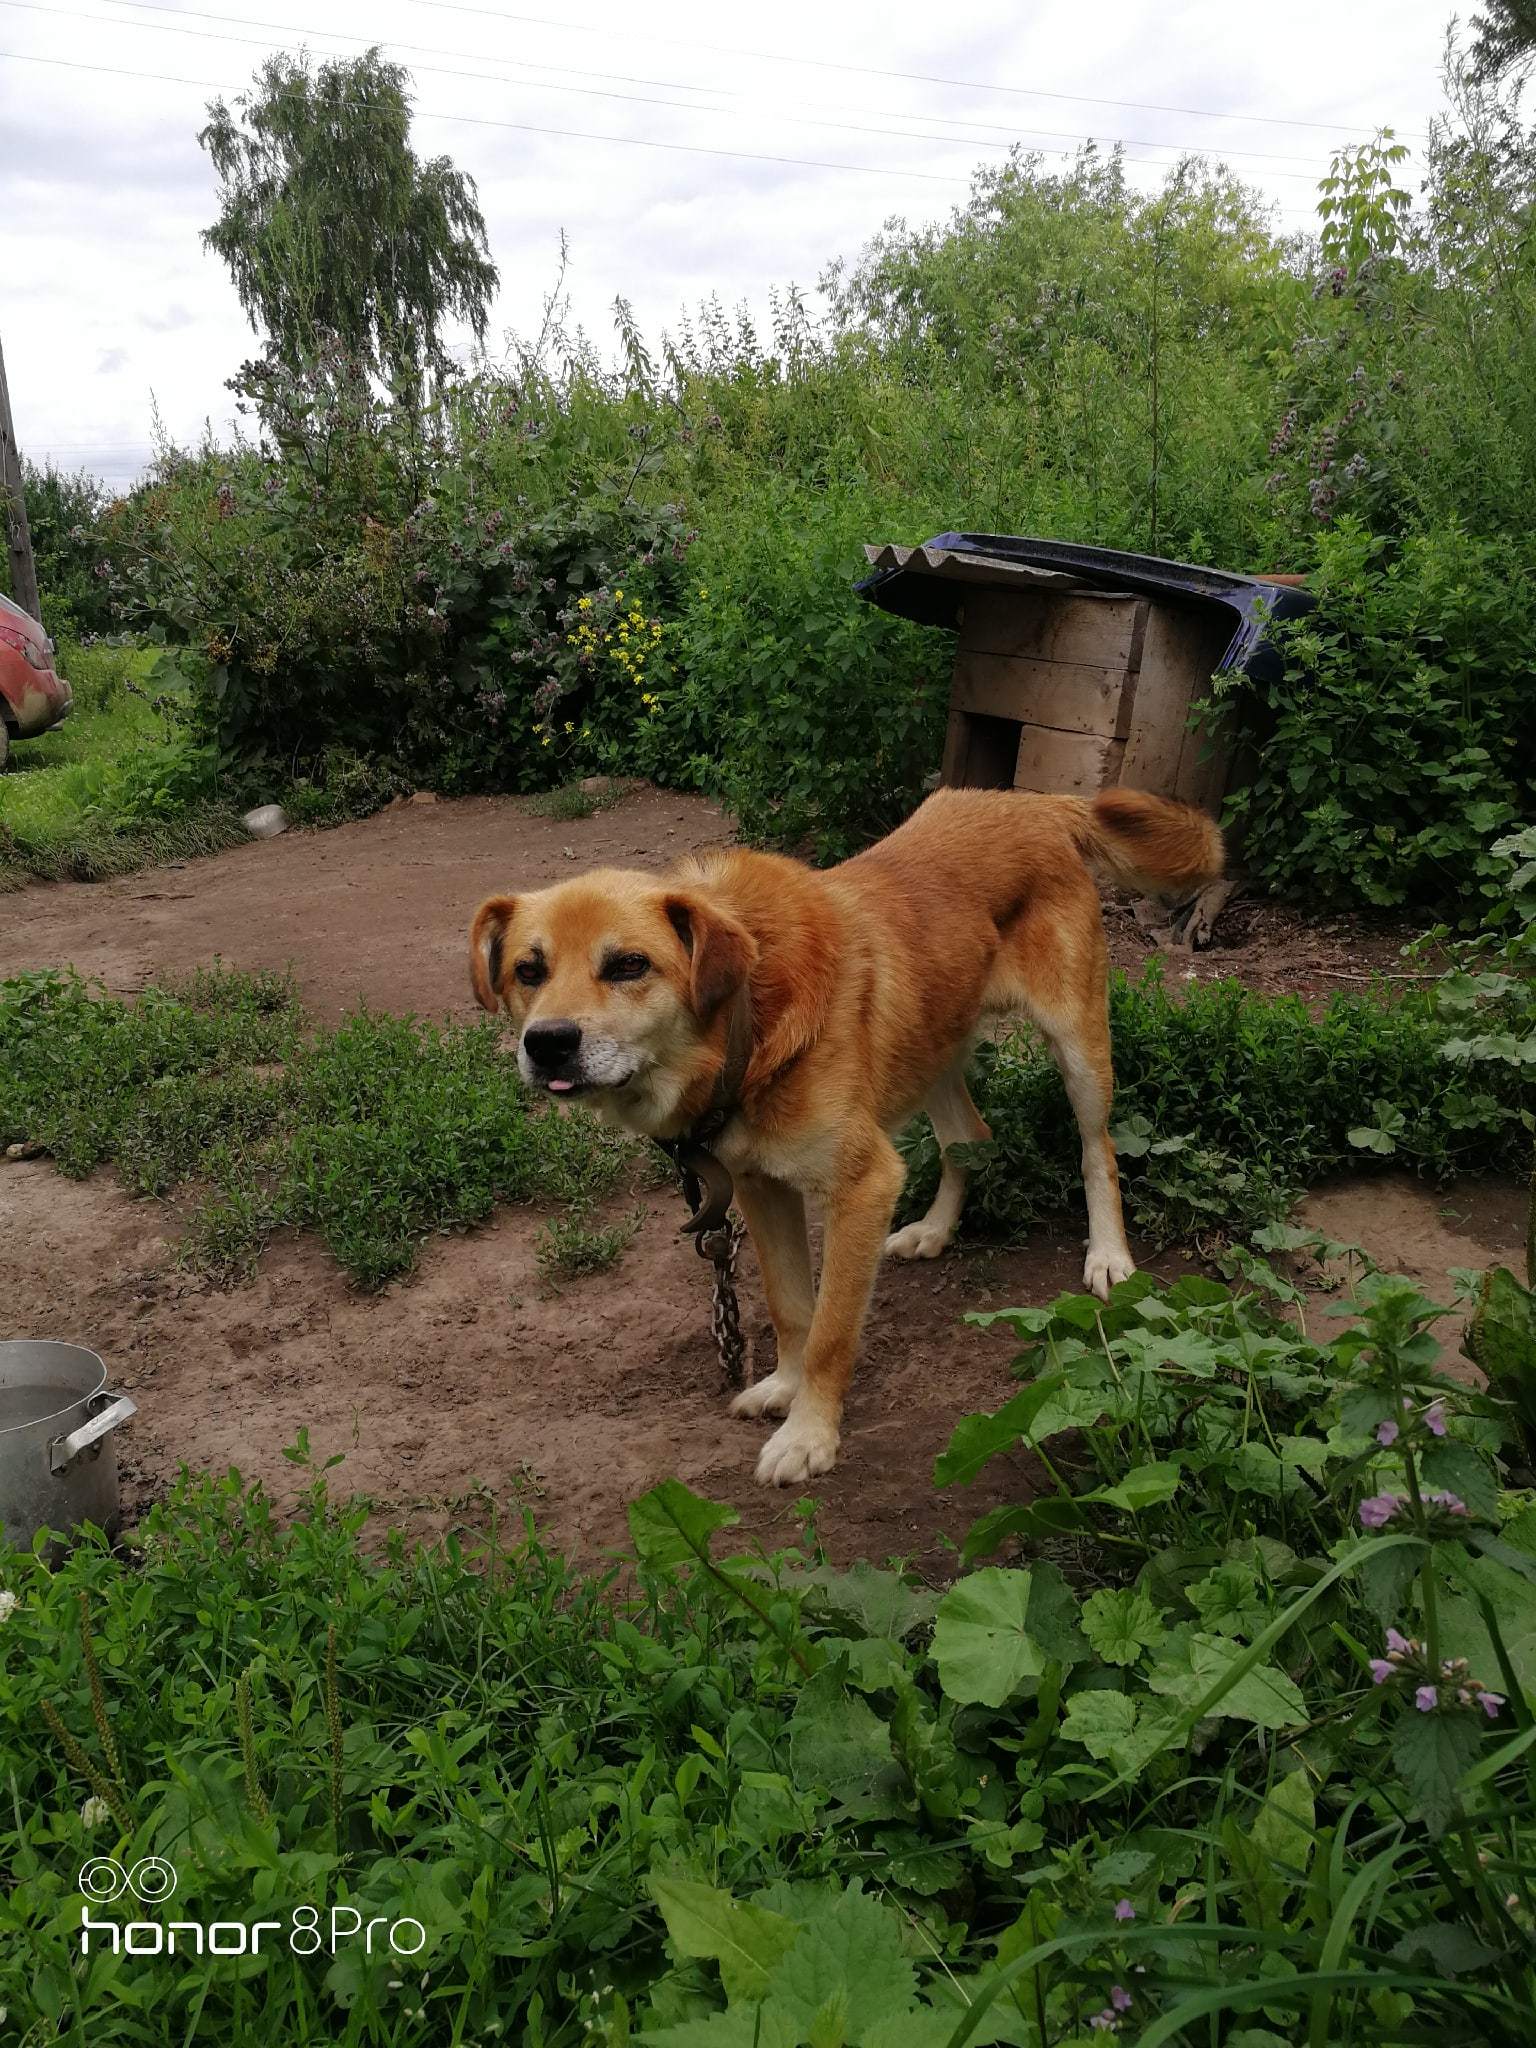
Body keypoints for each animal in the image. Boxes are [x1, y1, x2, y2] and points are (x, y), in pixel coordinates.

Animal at [468, 786, 1228, 1490]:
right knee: (968, 1135)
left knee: (1097, 1150)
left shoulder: (862, 1186)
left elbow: (832, 1329)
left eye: (629, 964)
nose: (548, 1042)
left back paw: (1108, 1255)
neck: (749, 1017)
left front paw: (809, 1436)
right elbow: (790, 1307)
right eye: (528, 971)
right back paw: (934, 1230)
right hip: (929, 1047)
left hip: (1077, 1046)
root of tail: (1034, 803)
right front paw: (785, 1387)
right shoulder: (760, 1186)